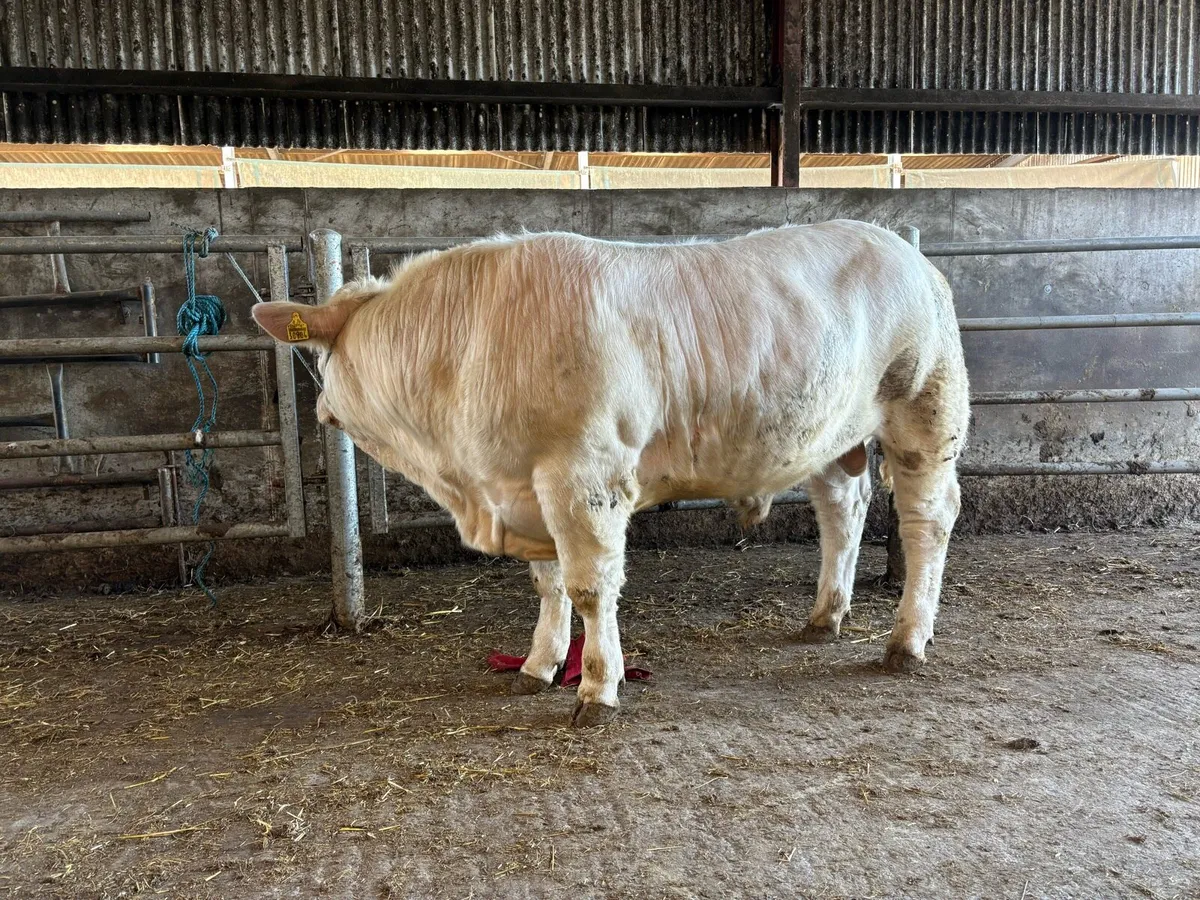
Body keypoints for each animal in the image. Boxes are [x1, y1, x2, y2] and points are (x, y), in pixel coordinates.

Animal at [252, 222, 970, 727]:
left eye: (320, 355)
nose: (318, 409)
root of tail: (905, 250)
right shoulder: (526, 486)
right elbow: (547, 585)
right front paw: (540, 664)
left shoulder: (583, 476)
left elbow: (590, 587)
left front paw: (597, 686)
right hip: (824, 434)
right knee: (842, 510)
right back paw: (826, 614)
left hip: (925, 410)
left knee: (926, 522)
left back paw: (907, 640)